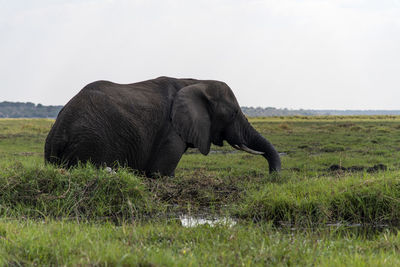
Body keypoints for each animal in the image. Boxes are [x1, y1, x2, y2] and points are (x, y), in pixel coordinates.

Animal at [44, 76, 282, 177]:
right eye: (233, 113)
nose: (272, 176)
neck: (195, 81)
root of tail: (58, 133)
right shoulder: (170, 131)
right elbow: (162, 173)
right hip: (91, 142)